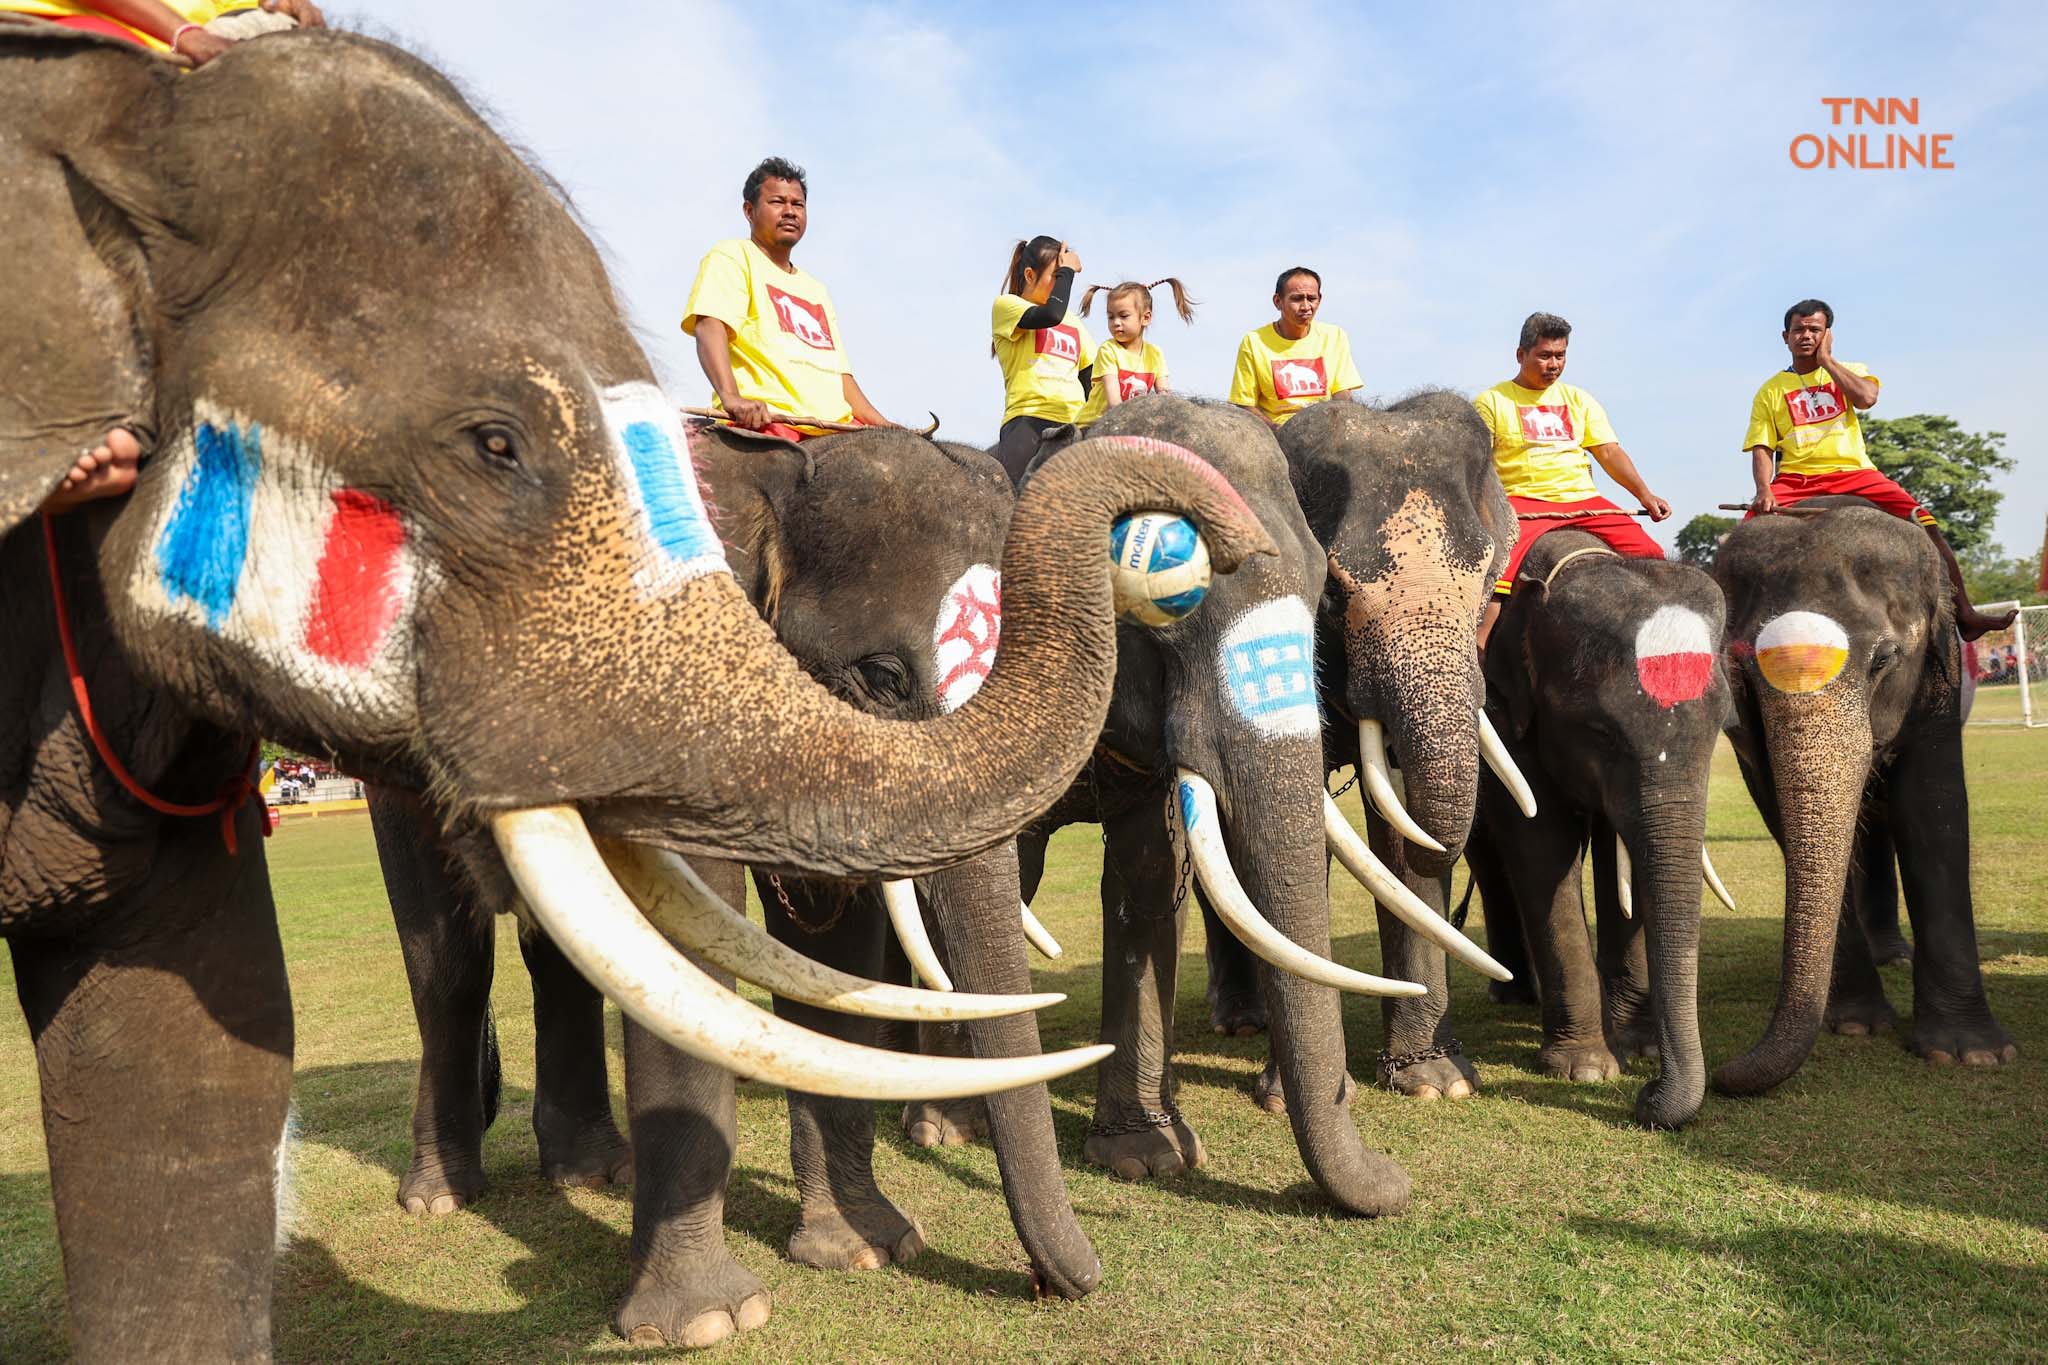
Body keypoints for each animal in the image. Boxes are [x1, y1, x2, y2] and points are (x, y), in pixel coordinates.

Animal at [372, 427, 1105, 1342]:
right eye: (883, 675)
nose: (1060, 1281)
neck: (767, 472)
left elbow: (832, 955)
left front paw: (866, 1247)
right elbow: (688, 940)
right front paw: (709, 1321)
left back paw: (590, 1173)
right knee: (447, 960)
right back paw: (441, 1196)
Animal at [1466, 527, 1736, 1129]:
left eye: (1723, 725)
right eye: (1599, 731)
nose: (1647, 1098)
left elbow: (1625, 862)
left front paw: (1640, 1048)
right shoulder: (1502, 712)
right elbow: (1541, 845)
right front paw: (1588, 1070)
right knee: (1488, 858)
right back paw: (1514, 994)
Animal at [1712, 497, 2015, 1096]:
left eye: (1883, 661)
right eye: (1742, 672)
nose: (1720, 1073)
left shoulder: (1938, 677)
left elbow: (1933, 811)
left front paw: (1970, 1055)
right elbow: (1780, 812)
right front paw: (1855, 1024)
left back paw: (1895, 957)